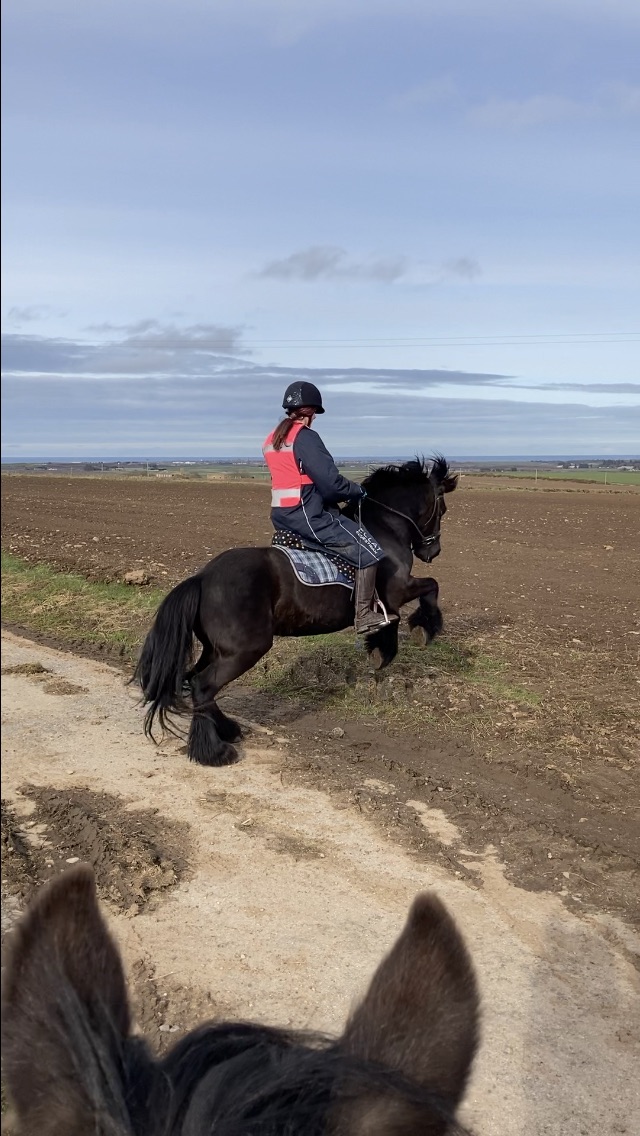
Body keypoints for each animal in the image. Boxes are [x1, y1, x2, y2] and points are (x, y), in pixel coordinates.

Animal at [134, 457, 458, 766]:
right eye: (442, 508)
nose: (434, 552)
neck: (383, 529)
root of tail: (201, 578)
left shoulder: (391, 599)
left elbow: (396, 619)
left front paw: (381, 649)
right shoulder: (397, 591)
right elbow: (430, 588)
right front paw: (422, 629)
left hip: (217, 649)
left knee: (194, 680)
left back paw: (228, 730)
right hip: (245, 649)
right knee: (203, 685)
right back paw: (214, 752)